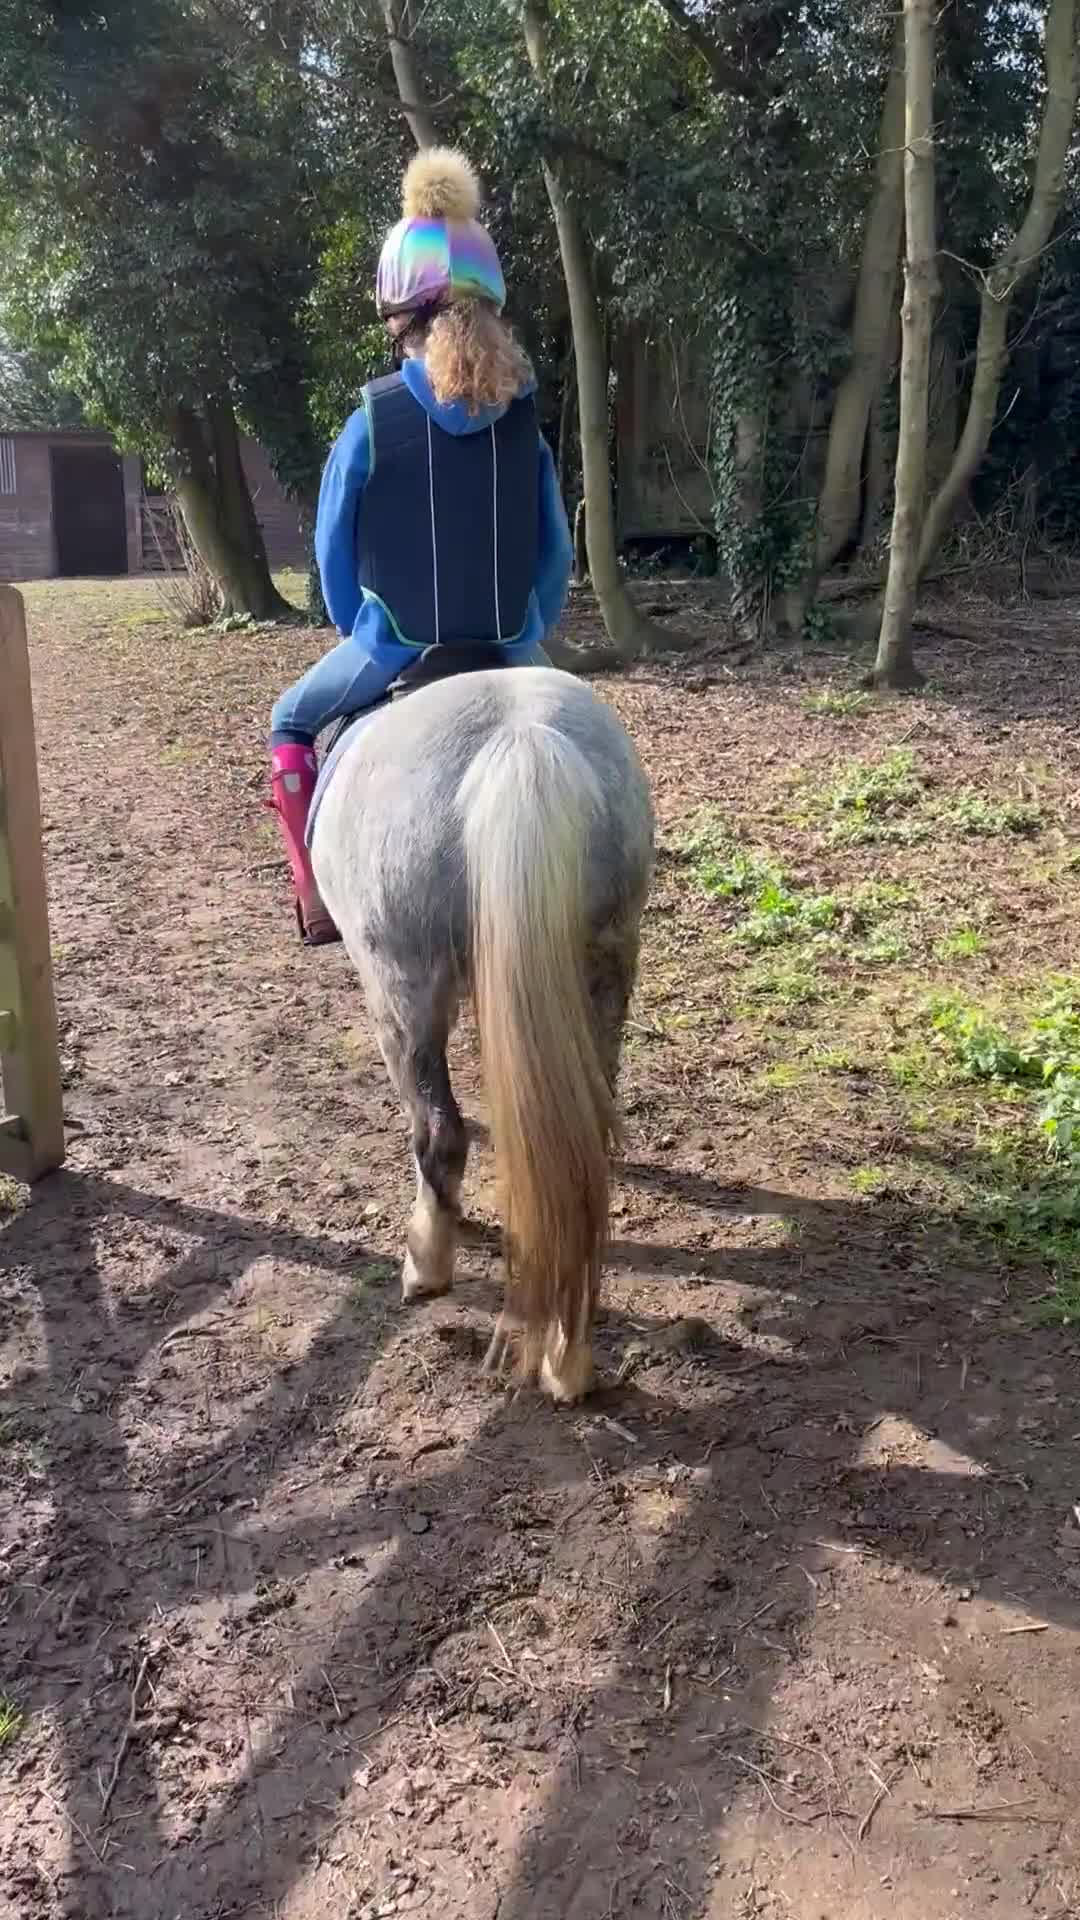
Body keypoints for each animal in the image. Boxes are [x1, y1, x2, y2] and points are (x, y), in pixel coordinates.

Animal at [310, 665, 654, 1403]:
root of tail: (522, 738)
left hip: (403, 989)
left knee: (438, 1133)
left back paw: (427, 1267)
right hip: (602, 971)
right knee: (578, 1155)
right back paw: (566, 1362)